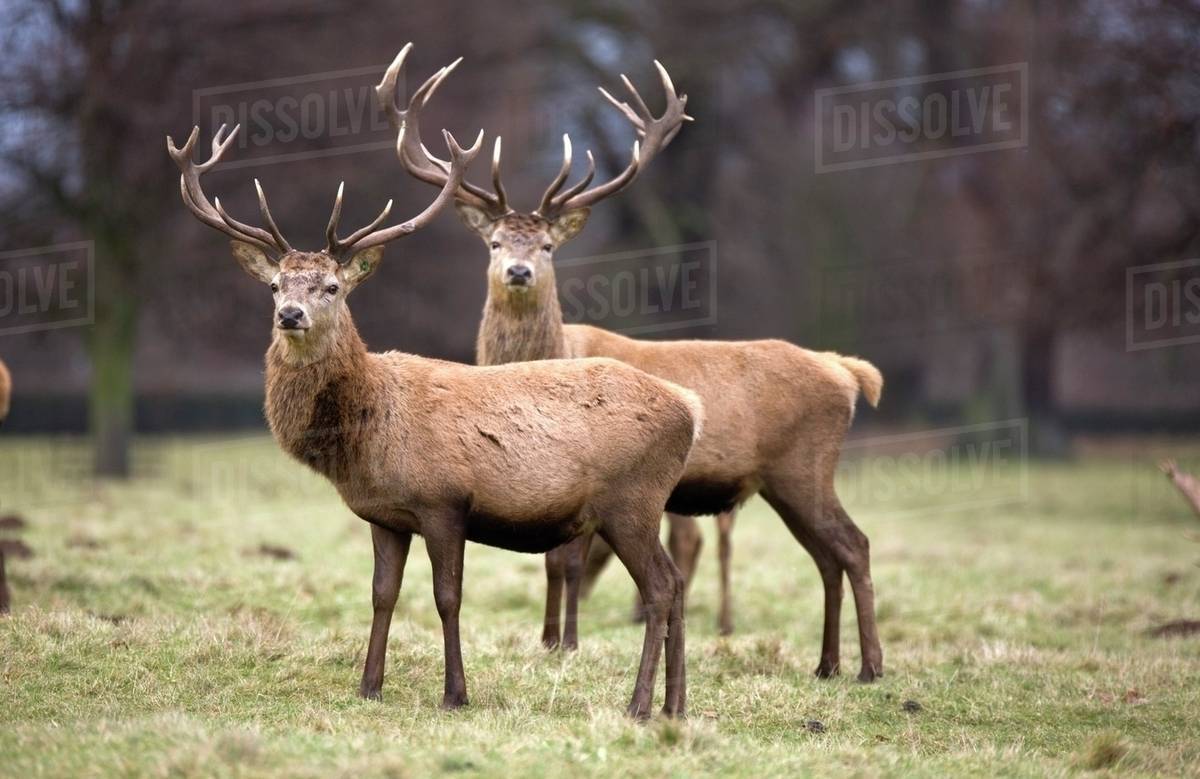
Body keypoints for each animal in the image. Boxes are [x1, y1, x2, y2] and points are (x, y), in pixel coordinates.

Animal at [166, 114, 702, 718]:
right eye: (276, 284)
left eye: (332, 286)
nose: (291, 314)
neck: (368, 432)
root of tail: (689, 408)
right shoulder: (385, 515)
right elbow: (382, 595)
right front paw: (369, 686)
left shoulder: (444, 502)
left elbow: (448, 598)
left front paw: (455, 694)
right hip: (639, 506)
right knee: (676, 583)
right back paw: (674, 706)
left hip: (631, 501)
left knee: (660, 587)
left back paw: (639, 705)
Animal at [381, 48, 885, 681]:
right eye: (494, 243)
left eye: (547, 246)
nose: (518, 272)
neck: (552, 354)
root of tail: (846, 372)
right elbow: (552, 561)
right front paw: (548, 638)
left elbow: (568, 562)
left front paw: (566, 643)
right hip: (784, 479)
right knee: (827, 556)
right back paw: (827, 665)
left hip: (805, 464)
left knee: (853, 544)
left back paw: (870, 667)